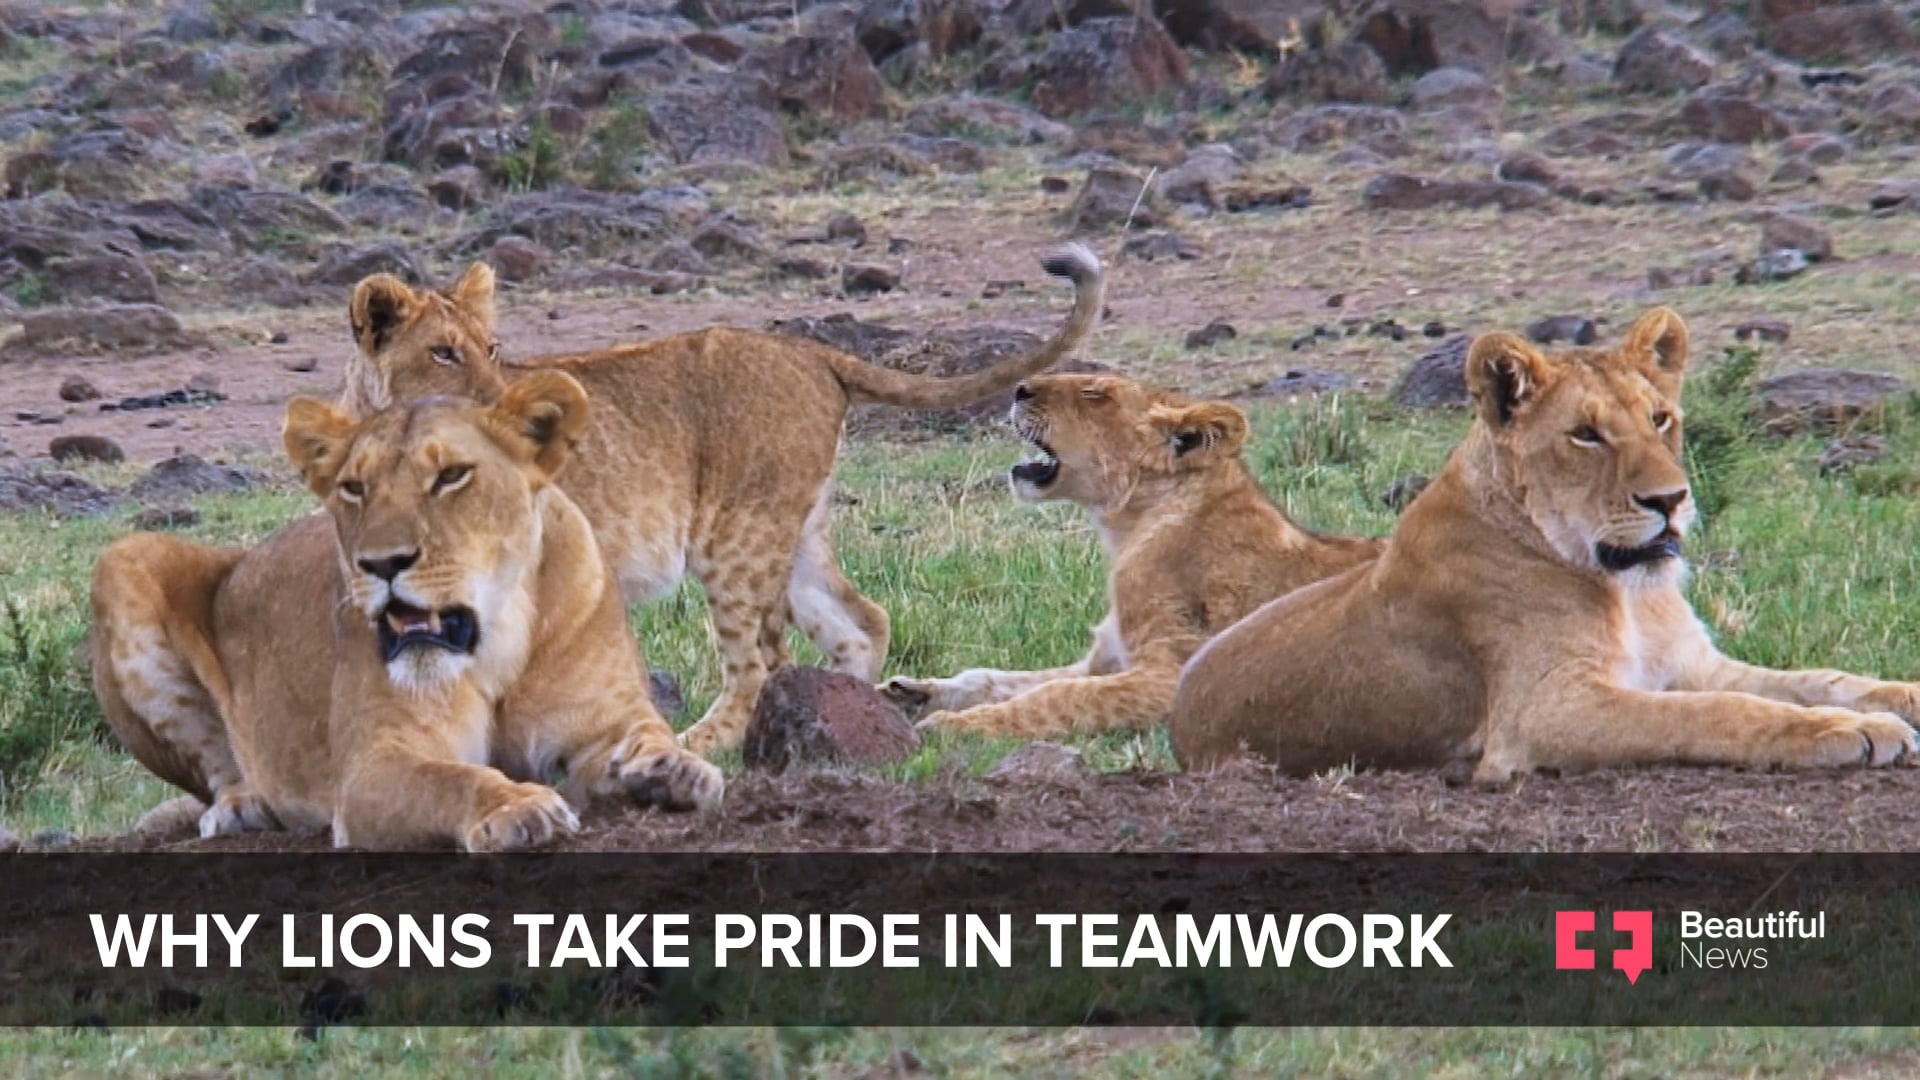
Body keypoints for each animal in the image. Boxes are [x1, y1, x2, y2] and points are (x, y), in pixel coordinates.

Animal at [90, 373, 723, 850]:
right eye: (353, 487)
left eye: (451, 476)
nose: (382, 563)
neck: (496, 639)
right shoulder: (372, 766)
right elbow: (452, 779)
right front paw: (517, 806)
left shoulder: (606, 715)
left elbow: (648, 732)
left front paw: (671, 770)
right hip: (123, 558)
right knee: (215, 773)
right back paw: (243, 807)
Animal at [326, 246, 1103, 756]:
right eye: (444, 353)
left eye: (491, 347)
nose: (503, 398)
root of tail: (810, 353)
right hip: (793, 532)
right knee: (861, 622)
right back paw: (841, 724)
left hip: (734, 537)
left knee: (759, 662)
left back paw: (703, 742)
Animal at [882, 372, 1383, 739]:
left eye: (1094, 394)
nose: (1019, 388)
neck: (1130, 529)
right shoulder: (1101, 660)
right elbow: (994, 678)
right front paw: (910, 692)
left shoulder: (1176, 676)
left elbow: (1060, 696)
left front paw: (954, 726)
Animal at [1170, 307, 1920, 782]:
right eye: (1586, 435)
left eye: (1660, 418)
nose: (1670, 500)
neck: (1627, 590)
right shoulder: (1544, 711)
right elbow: (1716, 714)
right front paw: (1852, 733)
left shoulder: (1696, 663)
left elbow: (1816, 680)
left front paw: (1894, 701)